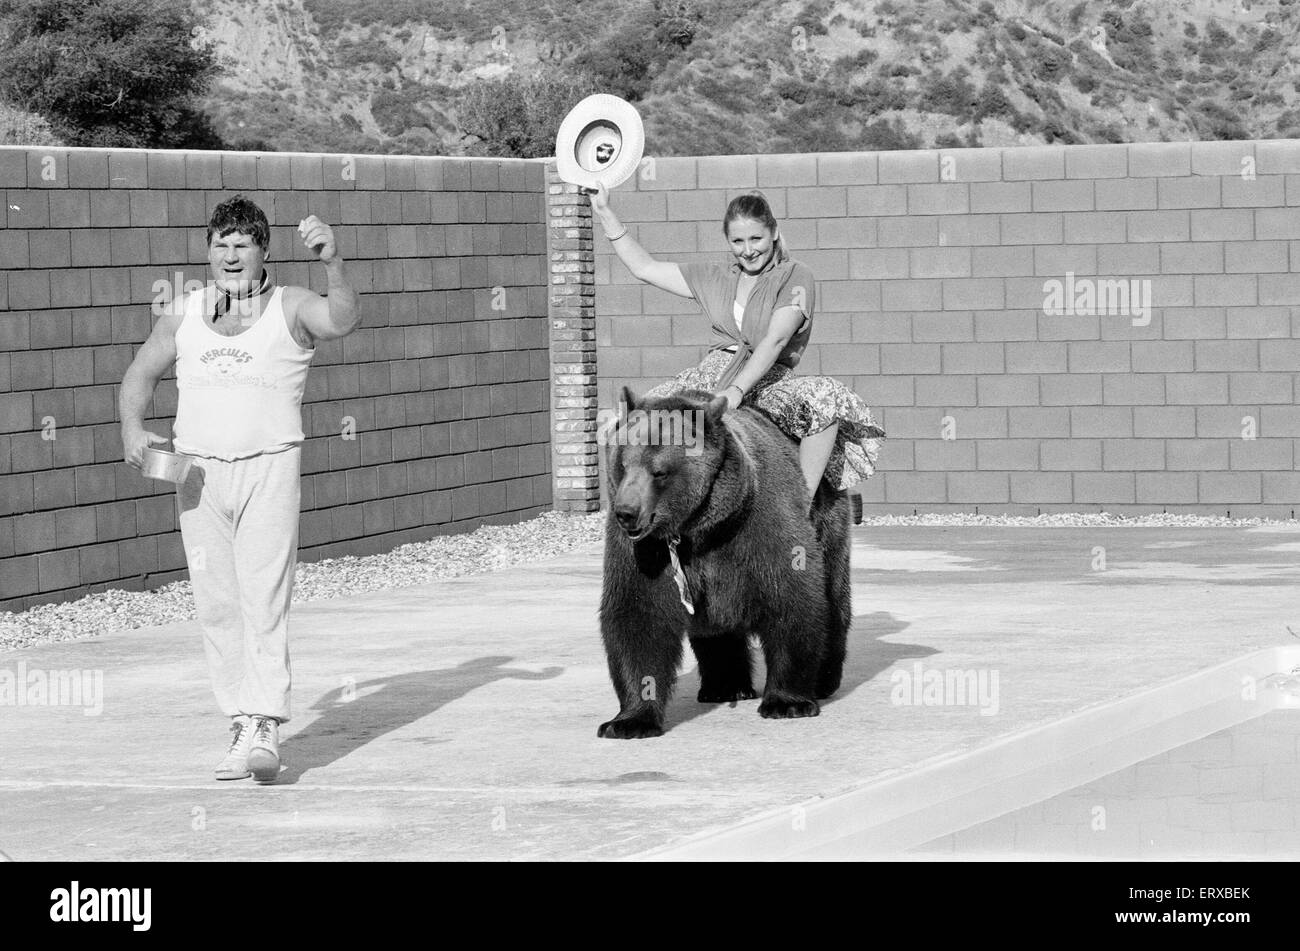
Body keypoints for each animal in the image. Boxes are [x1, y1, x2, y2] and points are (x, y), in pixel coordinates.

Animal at [598, 381, 852, 737]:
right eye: (622, 464)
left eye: (659, 471)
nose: (626, 513)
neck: (698, 528)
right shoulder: (648, 552)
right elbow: (638, 614)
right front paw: (628, 721)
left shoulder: (759, 523)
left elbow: (791, 596)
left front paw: (787, 702)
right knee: (715, 632)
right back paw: (725, 686)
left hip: (827, 519)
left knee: (833, 595)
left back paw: (823, 680)